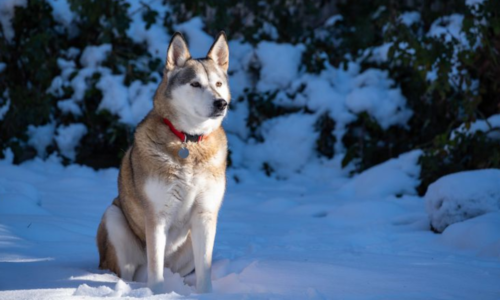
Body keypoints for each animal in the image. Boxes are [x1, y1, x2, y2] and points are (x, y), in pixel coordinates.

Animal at [95, 31, 230, 294]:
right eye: (195, 84)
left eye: (218, 84)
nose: (221, 103)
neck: (189, 141)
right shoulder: (157, 215)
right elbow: (155, 266)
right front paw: (156, 294)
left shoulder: (205, 214)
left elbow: (205, 267)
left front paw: (205, 294)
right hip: (114, 219)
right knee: (129, 271)